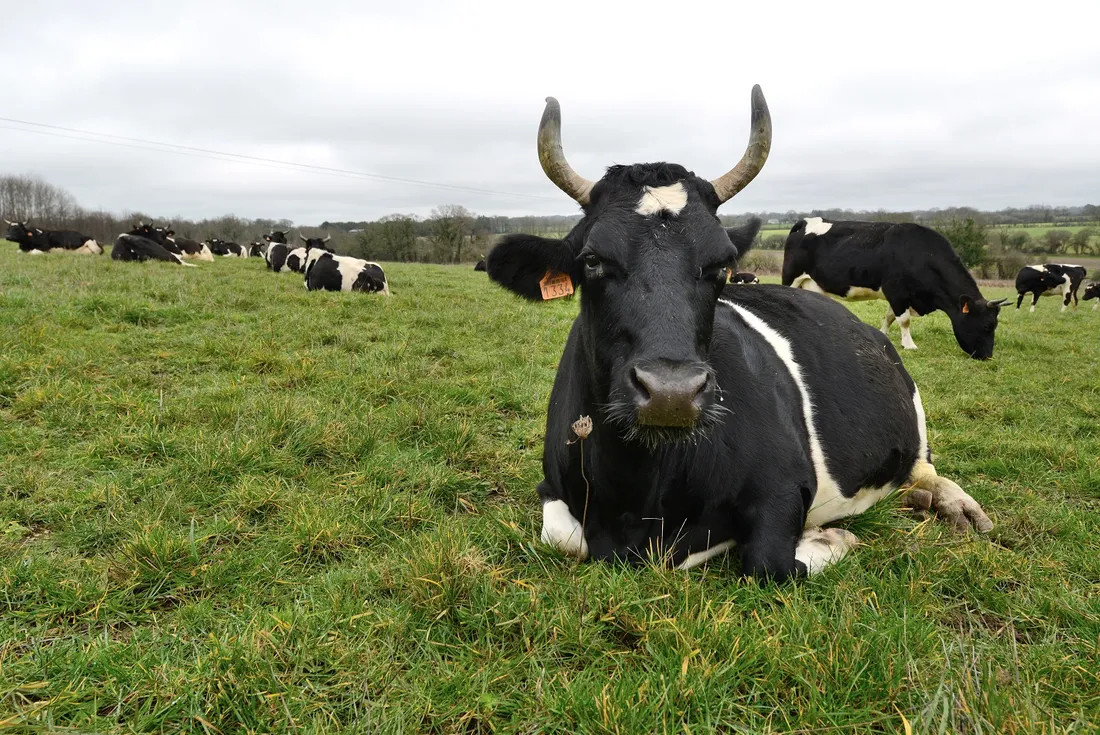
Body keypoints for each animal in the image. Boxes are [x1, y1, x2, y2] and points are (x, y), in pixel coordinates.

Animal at [781, 218, 1006, 359]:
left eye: (995, 325)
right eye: (986, 326)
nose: (988, 356)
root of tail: (804, 222)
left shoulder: (898, 296)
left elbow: (889, 317)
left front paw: (883, 335)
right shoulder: (897, 292)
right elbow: (904, 320)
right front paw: (909, 345)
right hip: (790, 277)